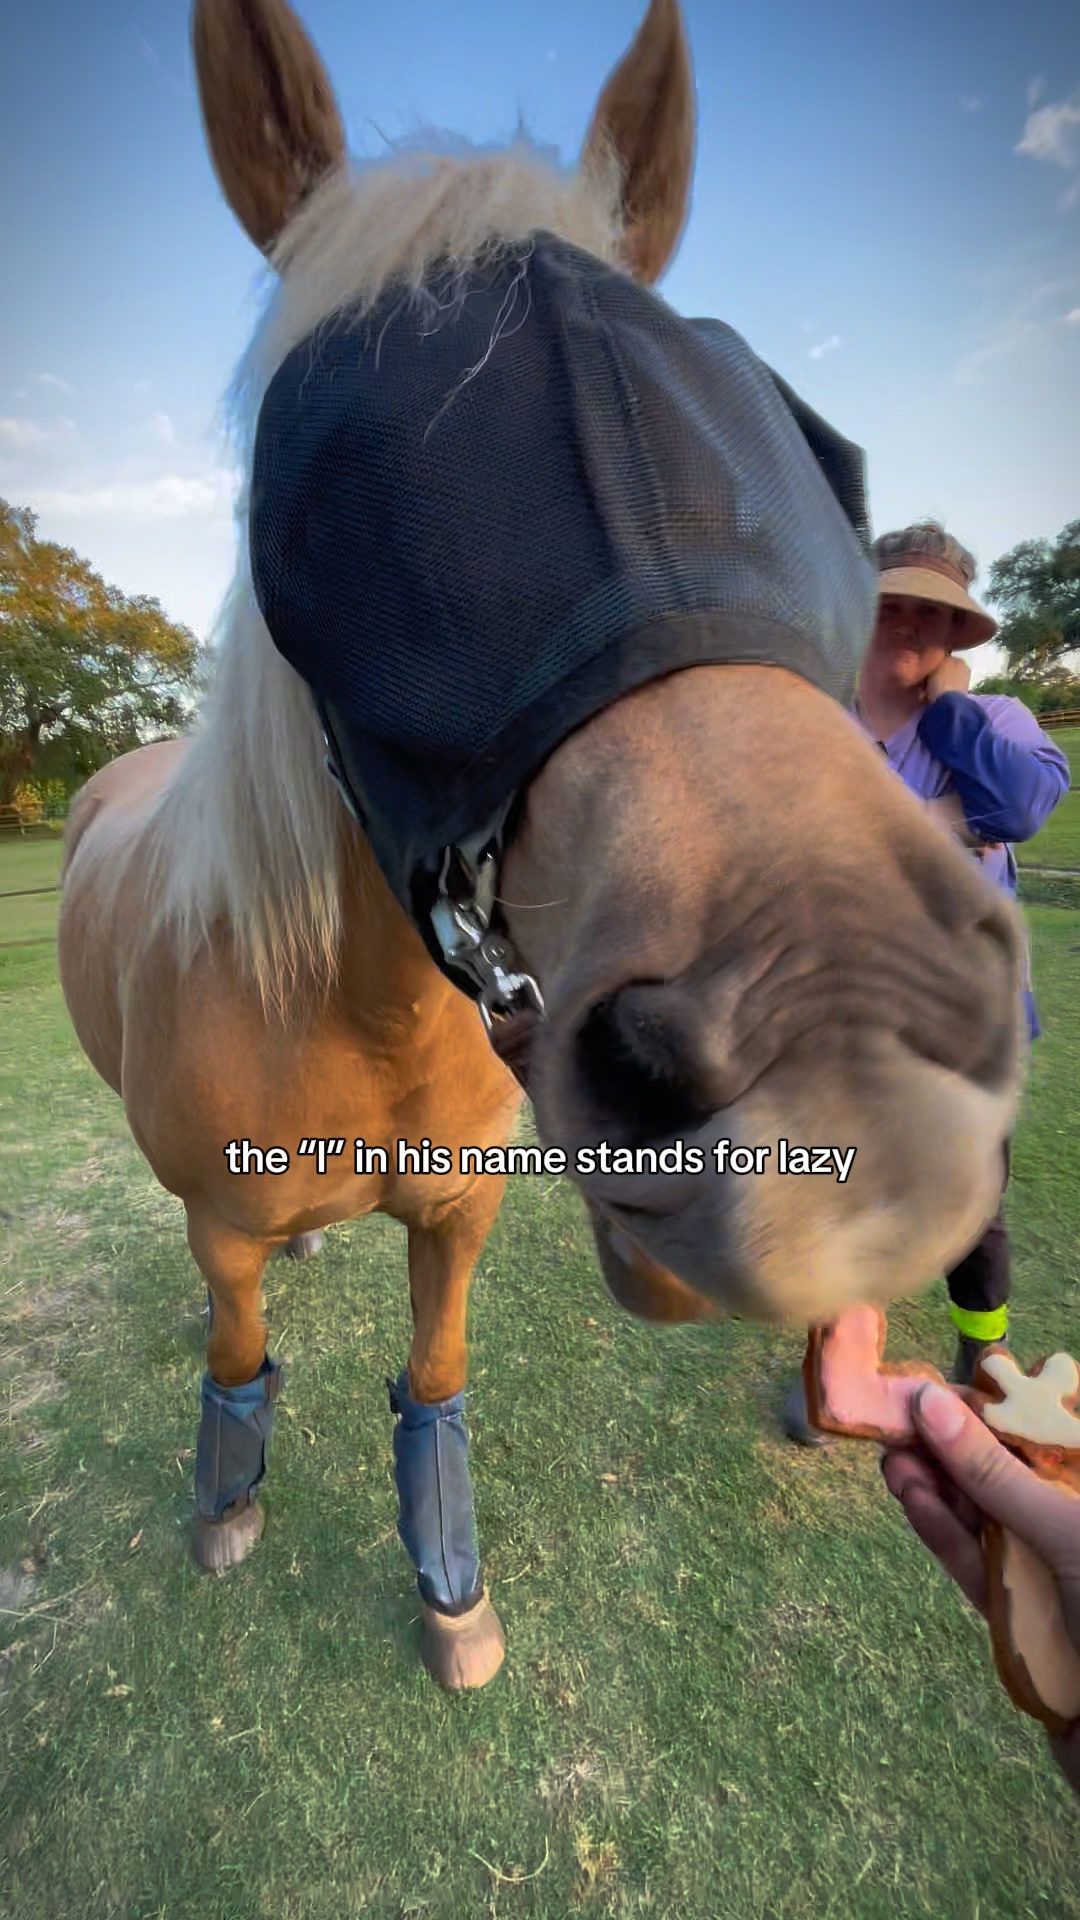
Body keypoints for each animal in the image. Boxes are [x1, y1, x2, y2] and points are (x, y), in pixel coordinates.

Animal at [57, 0, 1022, 1692]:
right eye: (339, 488)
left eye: (785, 445)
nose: (844, 1056)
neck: (358, 1012)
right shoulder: (224, 1223)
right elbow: (237, 1343)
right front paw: (226, 1501)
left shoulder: (460, 1218)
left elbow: (435, 1376)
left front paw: (452, 1590)